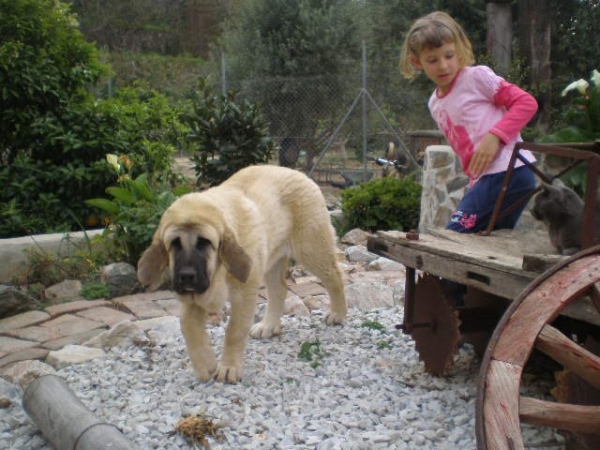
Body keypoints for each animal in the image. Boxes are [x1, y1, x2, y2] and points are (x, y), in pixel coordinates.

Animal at [137, 165, 346, 384]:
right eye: (174, 244)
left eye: (204, 242)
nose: (186, 276)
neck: (218, 273)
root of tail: (297, 172)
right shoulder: (192, 298)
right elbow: (187, 325)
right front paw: (205, 365)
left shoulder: (243, 295)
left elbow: (234, 331)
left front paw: (229, 367)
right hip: (272, 260)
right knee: (279, 290)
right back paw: (269, 325)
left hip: (312, 249)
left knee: (335, 277)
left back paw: (337, 313)